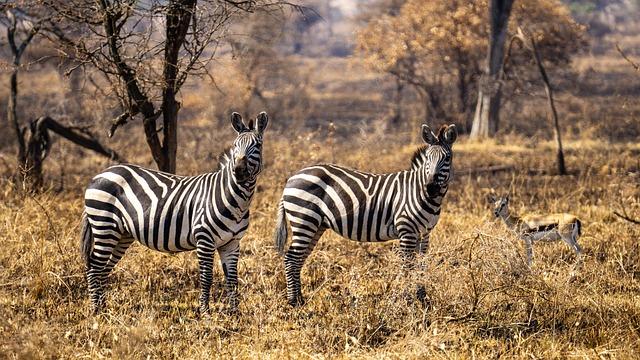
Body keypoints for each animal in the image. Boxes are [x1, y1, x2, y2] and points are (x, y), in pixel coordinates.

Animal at [81, 111, 268, 314]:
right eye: (235, 145)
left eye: (257, 145)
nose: (239, 171)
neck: (236, 201)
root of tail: (100, 174)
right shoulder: (204, 239)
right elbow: (207, 277)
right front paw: (205, 312)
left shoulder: (232, 243)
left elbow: (232, 279)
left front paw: (234, 313)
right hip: (104, 225)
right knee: (94, 268)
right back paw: (96, 310)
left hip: (121, 234)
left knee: (103, 269)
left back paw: (103, 307)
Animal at [272, 124, 458, 306]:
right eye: (428, 158)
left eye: (447, 158)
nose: (431, 188)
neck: (419, 191)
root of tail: (292, 178)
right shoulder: (407, 230)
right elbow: (407, 266)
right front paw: (407, 300)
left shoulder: (424, 233)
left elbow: (421, 266)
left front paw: (422, 298)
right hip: (304, 219)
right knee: (291, 258)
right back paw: (294, 301)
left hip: (316, 225)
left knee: (299, 259)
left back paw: (300, 299)